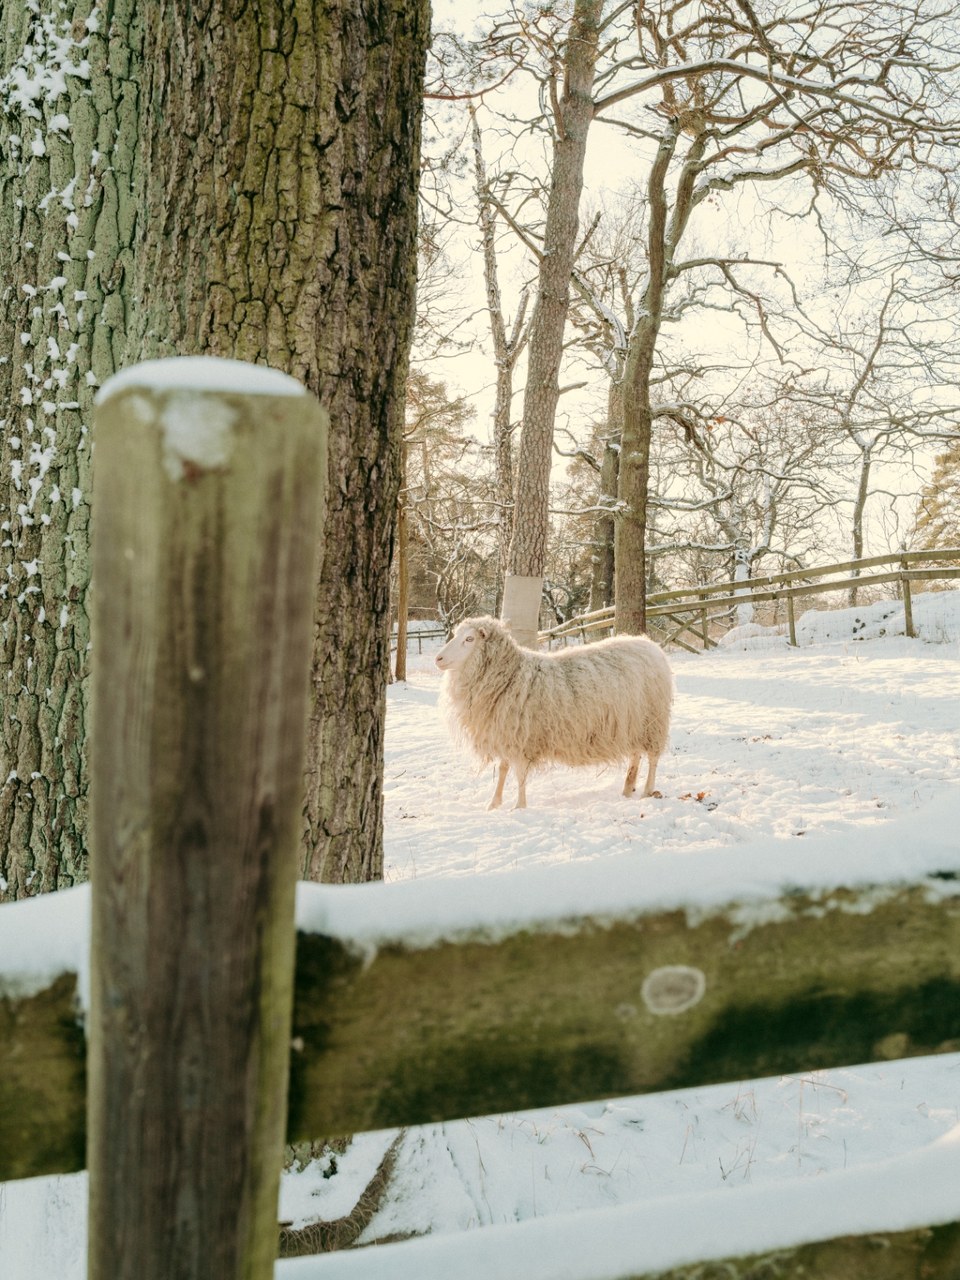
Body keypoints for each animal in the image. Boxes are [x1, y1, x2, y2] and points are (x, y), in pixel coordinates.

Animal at [435, 615, 673, 810]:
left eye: (469, 639)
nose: (438, 659)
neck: (509, 676)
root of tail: (651, 645)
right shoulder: (507, 734)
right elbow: (503, 770)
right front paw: (494, 804)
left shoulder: (522, 737)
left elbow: (519, 774)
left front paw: (519, 807)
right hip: (634, 722)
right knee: (636, 754)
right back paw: (627, 787)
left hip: (654, 720)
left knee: (653, 758)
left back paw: (647, 791)